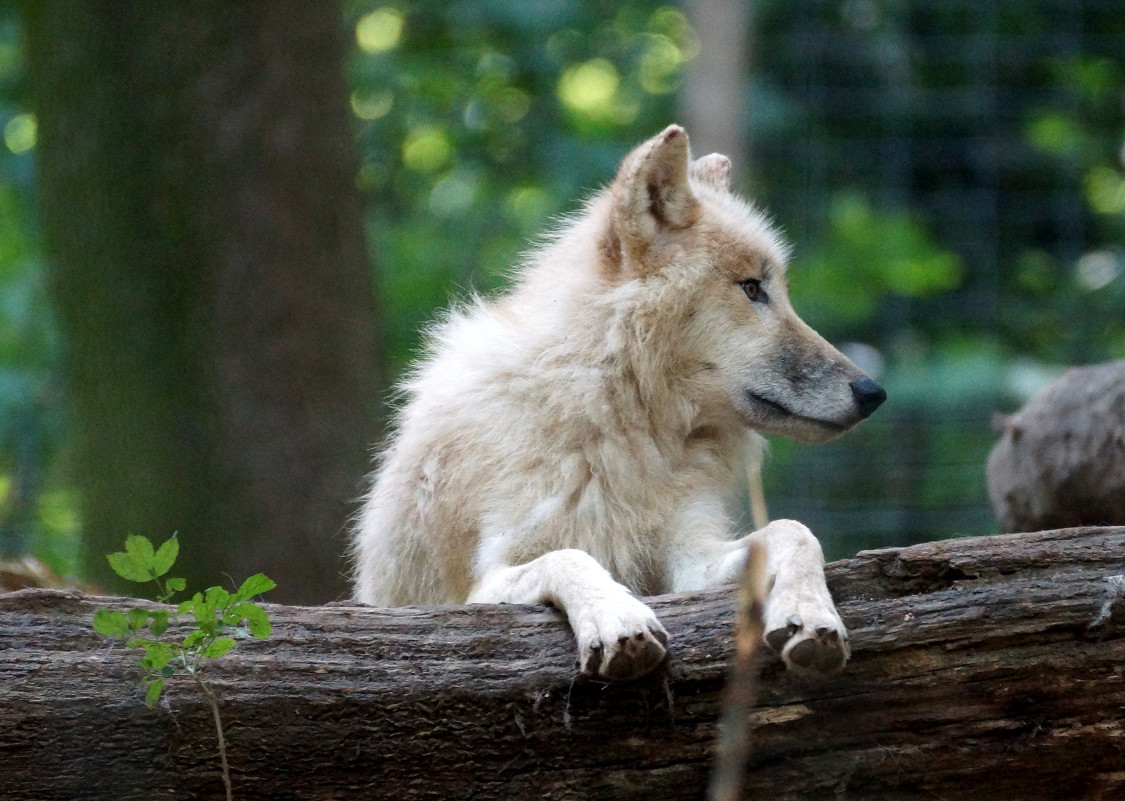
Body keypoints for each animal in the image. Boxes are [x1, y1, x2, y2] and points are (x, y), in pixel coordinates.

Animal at [353, 126, 886, 684]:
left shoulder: (688, 560)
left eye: (775, 289)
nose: (873, 392)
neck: (617, 421)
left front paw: (812, 614)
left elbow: (794, 531)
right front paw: (617, 620)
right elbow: (569, 556)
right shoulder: (483, 584)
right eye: (751, 288)